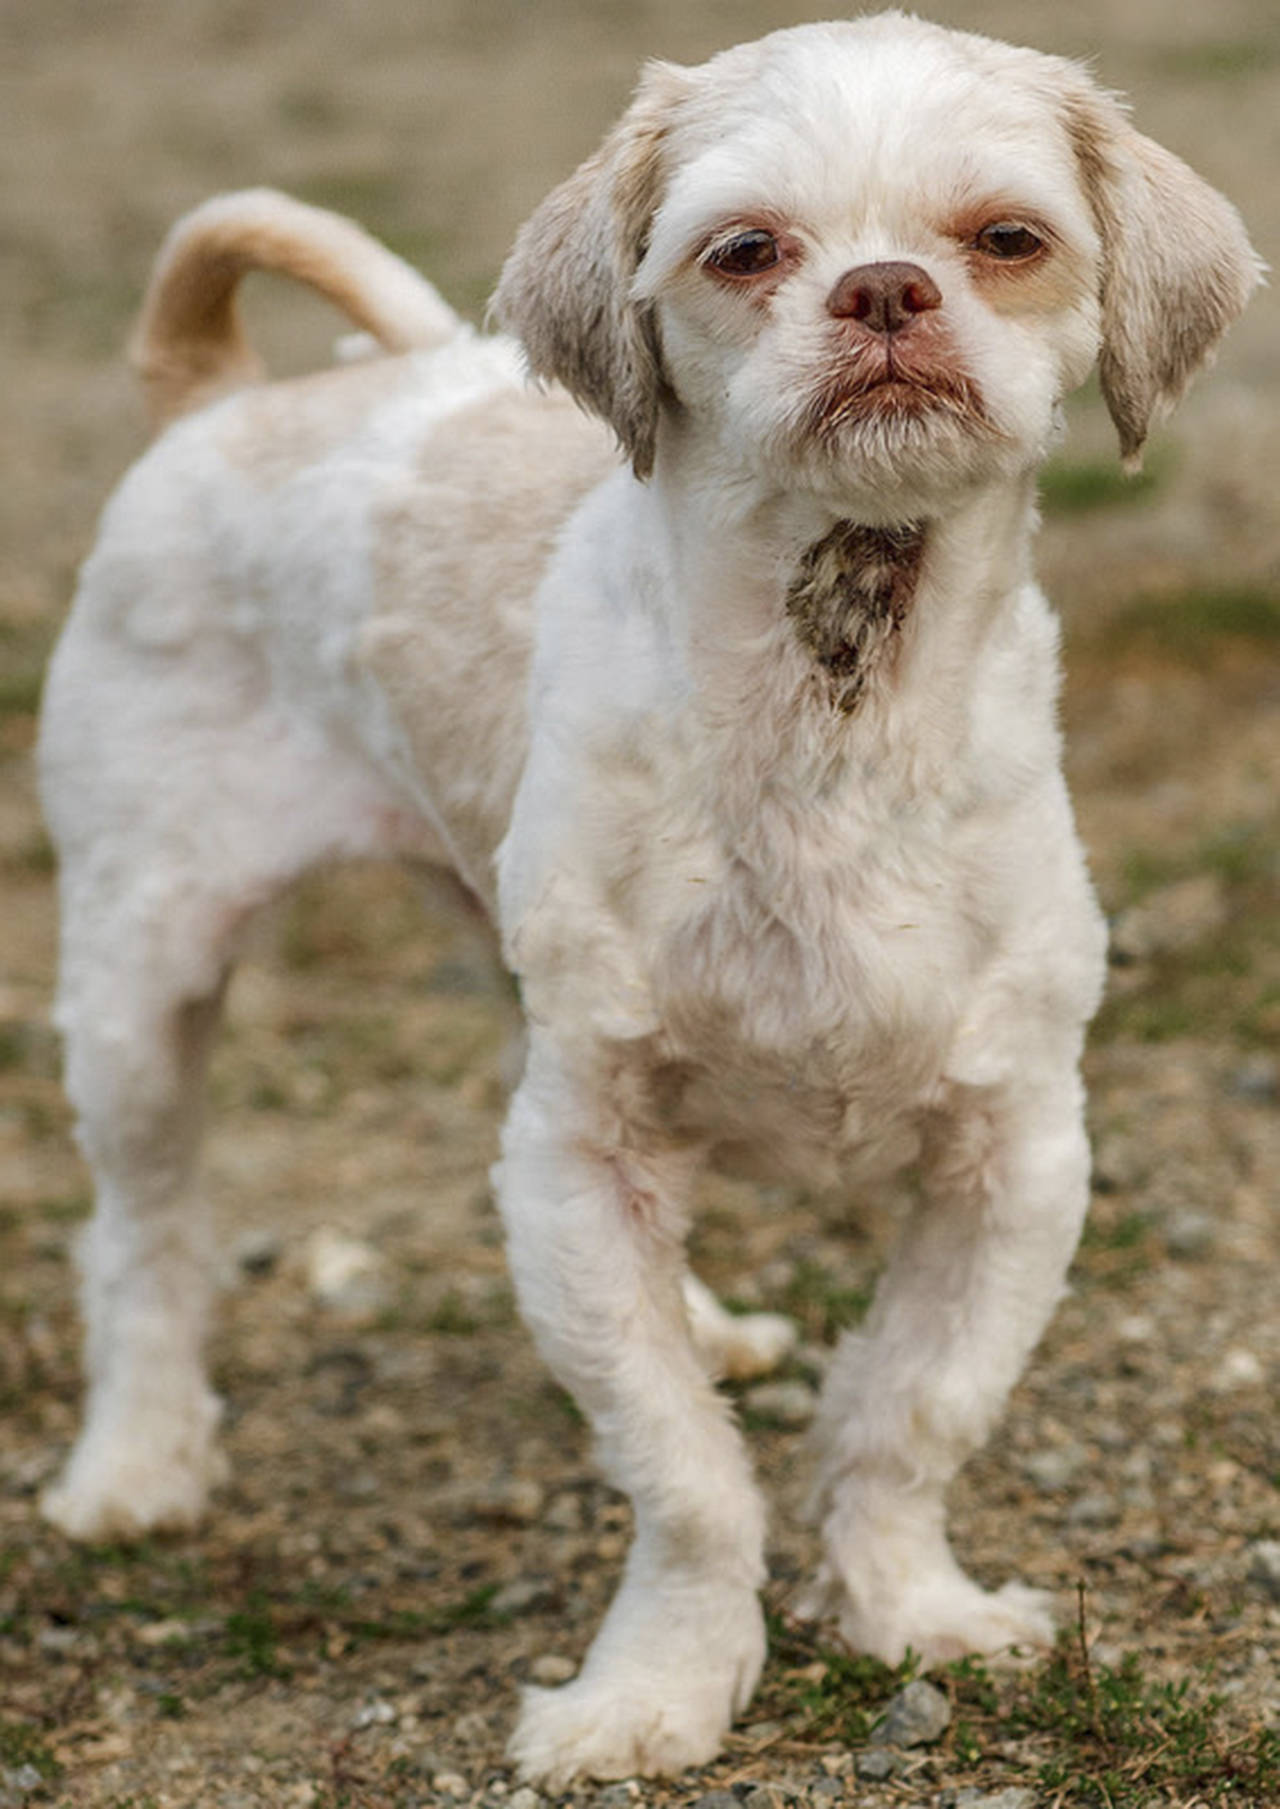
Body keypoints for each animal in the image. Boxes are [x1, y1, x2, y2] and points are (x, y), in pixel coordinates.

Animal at [35, 14, 1258, 1787]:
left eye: (1007, 237)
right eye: (744, 250)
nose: (885, 289)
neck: (828, 718)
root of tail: (223, 400)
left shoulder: (1018, 1152)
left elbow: (910, 1411)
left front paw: (911, 1609)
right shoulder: (579, 1154)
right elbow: (681, 1471)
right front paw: (659, 1687)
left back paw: (703, 1312)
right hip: (144, 971)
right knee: (143, 1235)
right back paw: (132, 1469)